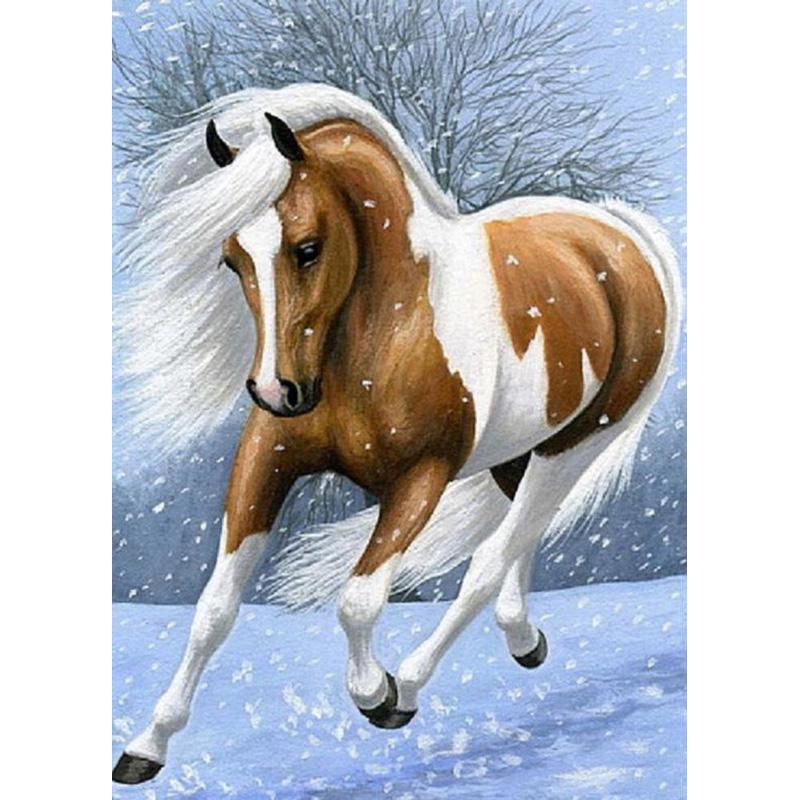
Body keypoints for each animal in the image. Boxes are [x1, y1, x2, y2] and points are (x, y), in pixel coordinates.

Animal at [112, 84, 680, 784]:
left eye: (307, 247)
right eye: (231, 257)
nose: (276, 392)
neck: (385, 331)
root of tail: (621, 232)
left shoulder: (420, 478)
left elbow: (357, 599)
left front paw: (375, 694)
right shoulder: (266, 458)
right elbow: (214, 609)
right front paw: (146, 746)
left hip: (575, 444)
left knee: (490, 561)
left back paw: (409, 684)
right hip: (519, 453)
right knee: (518, 543)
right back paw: (523, 641)